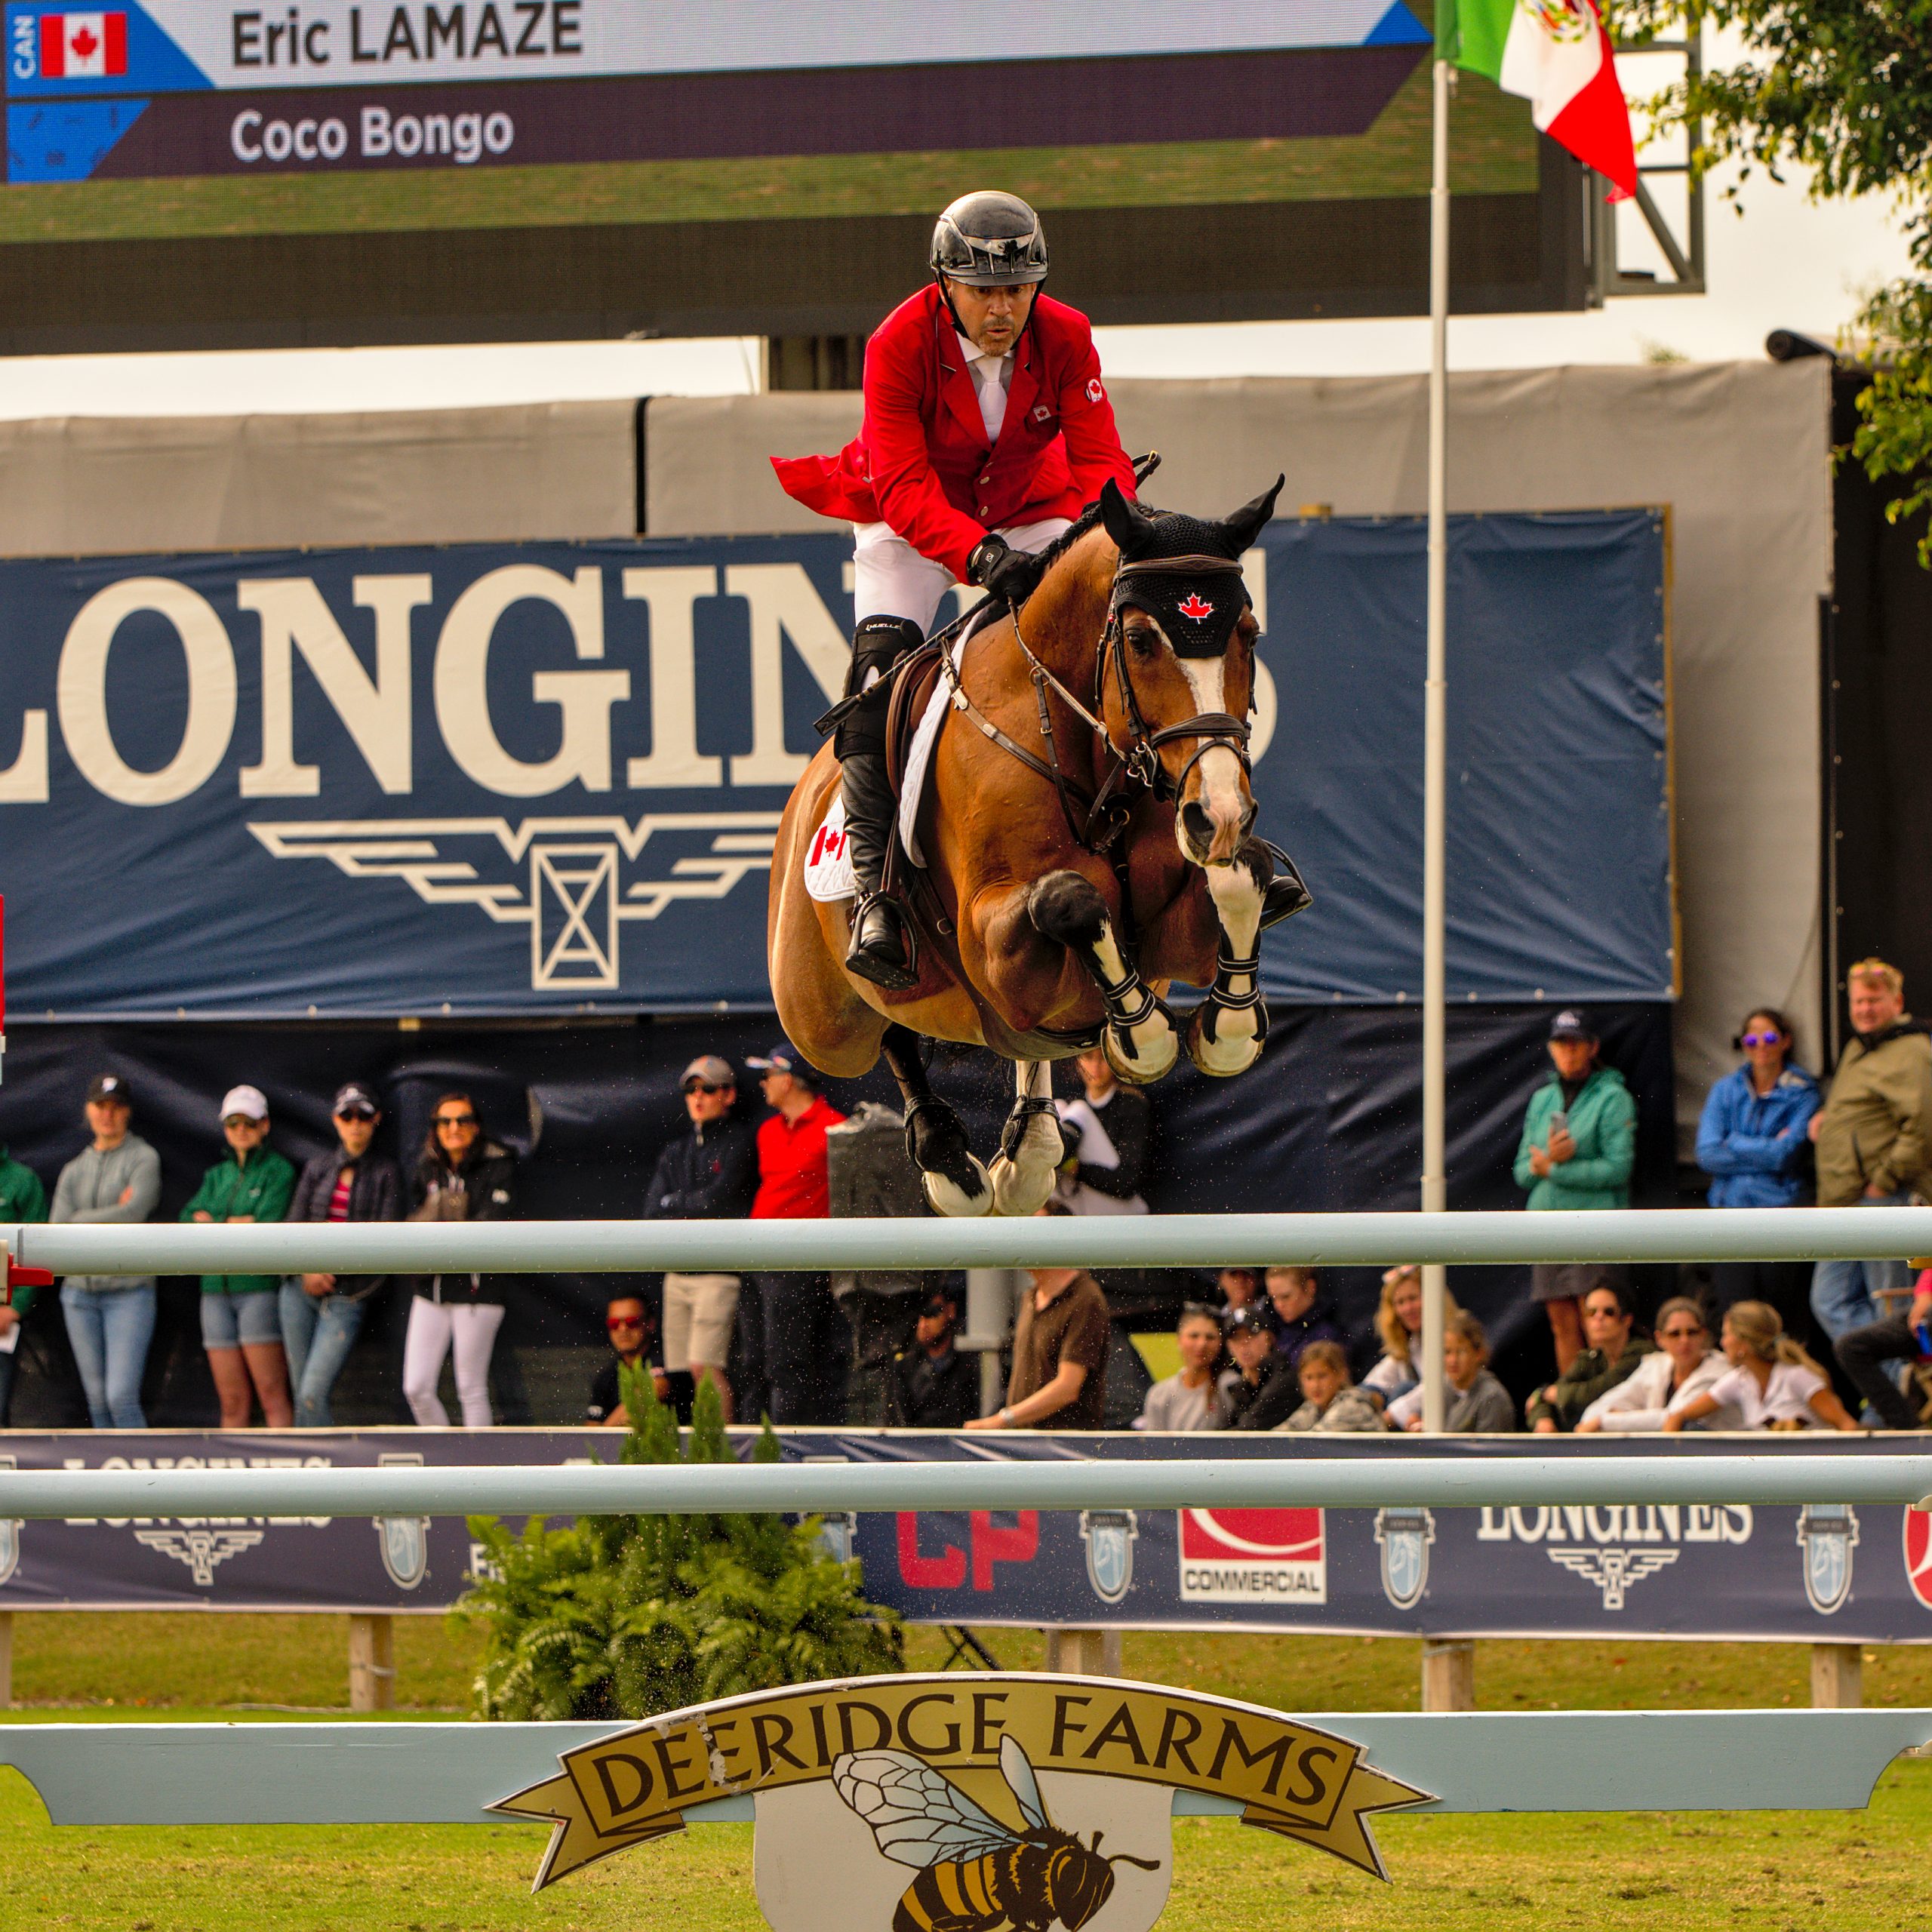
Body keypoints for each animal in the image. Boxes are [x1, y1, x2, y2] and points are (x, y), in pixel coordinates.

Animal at [761, 473, 1291, 1213]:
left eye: (1249, 633)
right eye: (1140, 640)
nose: (1219, 812)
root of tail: (806, 793)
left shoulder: (1171, 939)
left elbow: (1245, 872)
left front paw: (1227, 1028)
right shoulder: (990, 944)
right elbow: (1070, 899)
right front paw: (1142, 1037)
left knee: (1022, 1047)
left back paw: (1030, 1148)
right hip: (821, 1024)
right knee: (885, 1027)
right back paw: (948, 1157)